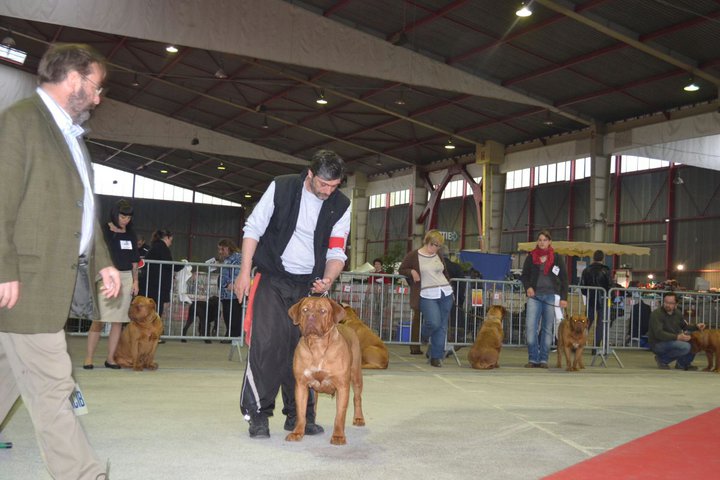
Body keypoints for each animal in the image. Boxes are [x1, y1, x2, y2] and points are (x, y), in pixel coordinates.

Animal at [286, 296, 366, 446]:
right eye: (305, 310)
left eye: (323, 311)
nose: (311, 316)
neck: (317, 346)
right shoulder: (301, 385)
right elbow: (301, 413)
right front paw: (297, 432)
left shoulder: (342, 387)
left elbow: (339, 415)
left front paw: (338, 436)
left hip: (356, 375)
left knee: (357, 397)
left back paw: (359, 418)